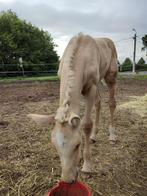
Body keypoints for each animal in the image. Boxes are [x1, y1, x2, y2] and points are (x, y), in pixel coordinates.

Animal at [28, 32, 117, 184]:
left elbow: (86, 124)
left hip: (110, 76)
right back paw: (94, 136)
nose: (68, 179)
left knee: (111, 103)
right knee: (99, 102)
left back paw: (112, 136)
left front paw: (87, 167)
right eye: (54, 145)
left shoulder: (91, 87)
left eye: (77, 145)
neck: (81, 54)